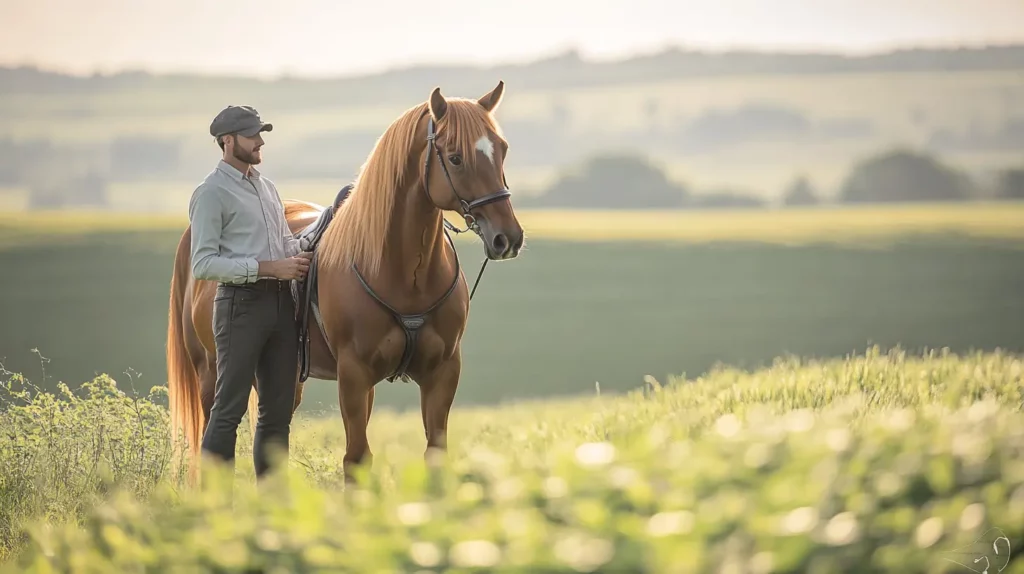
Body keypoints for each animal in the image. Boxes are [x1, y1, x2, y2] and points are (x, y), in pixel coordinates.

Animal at [166, 79, 524, 482]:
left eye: (502, 149)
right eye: (456, 157)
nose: (508, 237)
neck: (405, 276)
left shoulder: (442, 372)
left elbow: (435, 453)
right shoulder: (354, 375)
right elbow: (356, 458)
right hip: (212, 372)